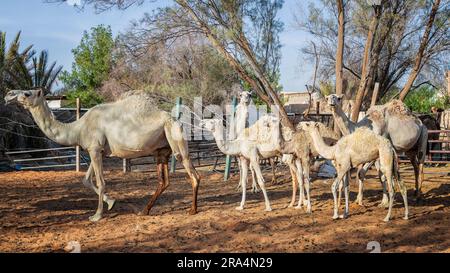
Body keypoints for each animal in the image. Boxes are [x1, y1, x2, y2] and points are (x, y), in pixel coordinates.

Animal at [4, 89, 200, 221]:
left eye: (27, 93)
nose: (8, 95)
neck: (78, 128)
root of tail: (175, 120)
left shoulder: (95, 149)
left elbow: (101, 181)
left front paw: (97, 215)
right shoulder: (96, 150)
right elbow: (86, 180)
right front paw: (111, 203)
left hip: (175, 139)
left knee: (193, 174)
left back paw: (193, 210)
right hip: (161, 151)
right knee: (164, 181)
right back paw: (144, 211)